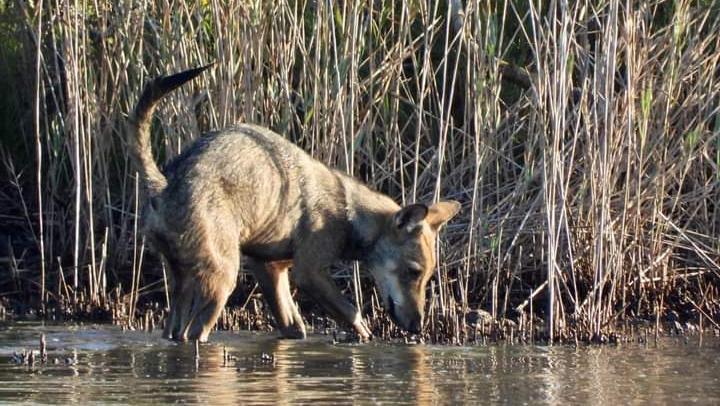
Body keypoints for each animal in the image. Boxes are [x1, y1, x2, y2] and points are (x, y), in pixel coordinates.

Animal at [126, 65, 458, 340]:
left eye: (428, 276)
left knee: (175, 332)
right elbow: (351, 311)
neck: (349, 212)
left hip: (181, 281)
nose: (418, 326)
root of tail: (164, 185)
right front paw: (365, 336)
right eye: (413, 272)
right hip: (222, 280)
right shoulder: (308, 271)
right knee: (195, 334)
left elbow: (293, 326)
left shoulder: (270, 268)